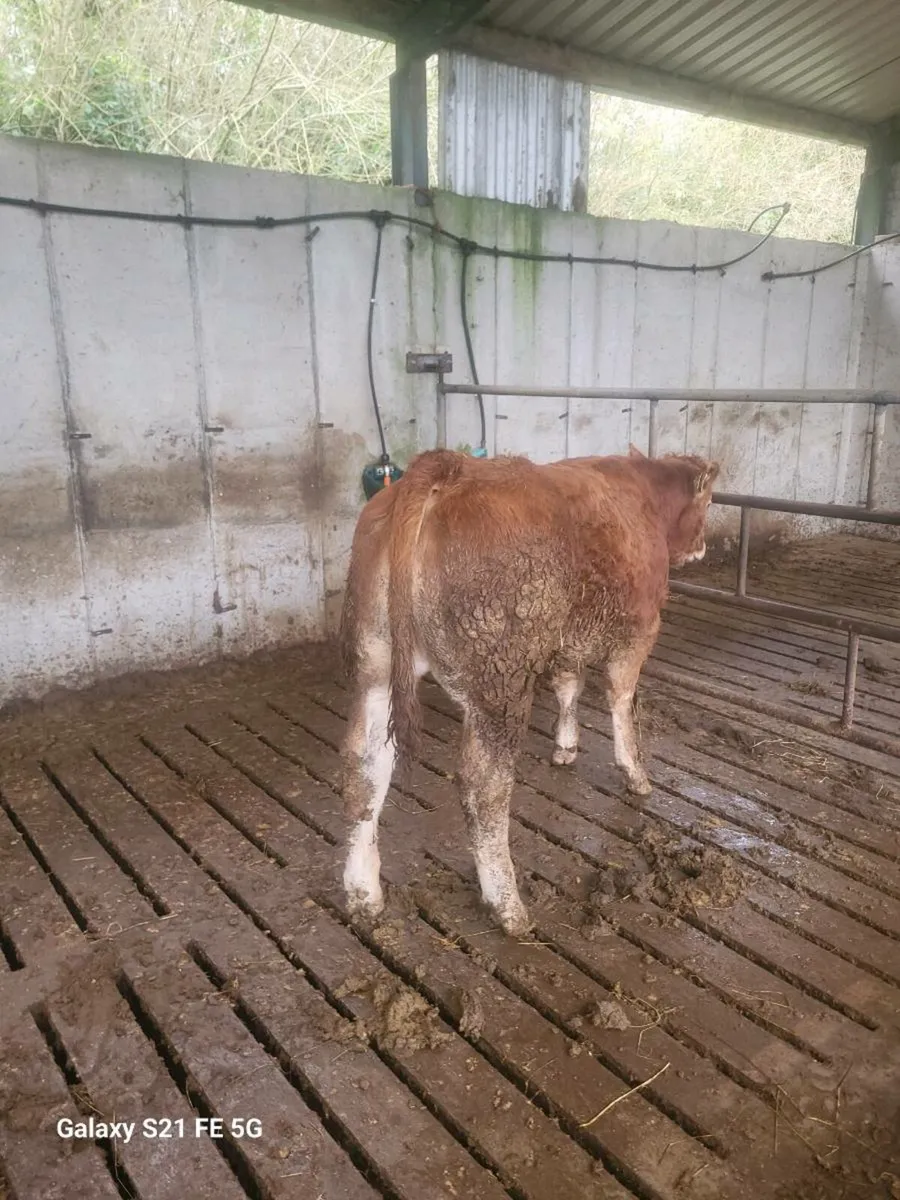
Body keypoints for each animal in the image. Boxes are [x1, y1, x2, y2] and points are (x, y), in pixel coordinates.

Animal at [339, 446, 719, 936]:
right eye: (707, 502)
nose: (702, 546)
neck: (645, 495)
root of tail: (446, 468)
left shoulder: (568, 639)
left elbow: (569, 685)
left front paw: (565, 747)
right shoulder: (639, 628)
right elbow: (619, 697)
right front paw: (635, 772)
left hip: (376, 665)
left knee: (363, 771)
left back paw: (363, 894)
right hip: (499, 684)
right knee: (484, 789)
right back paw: (507, 906)